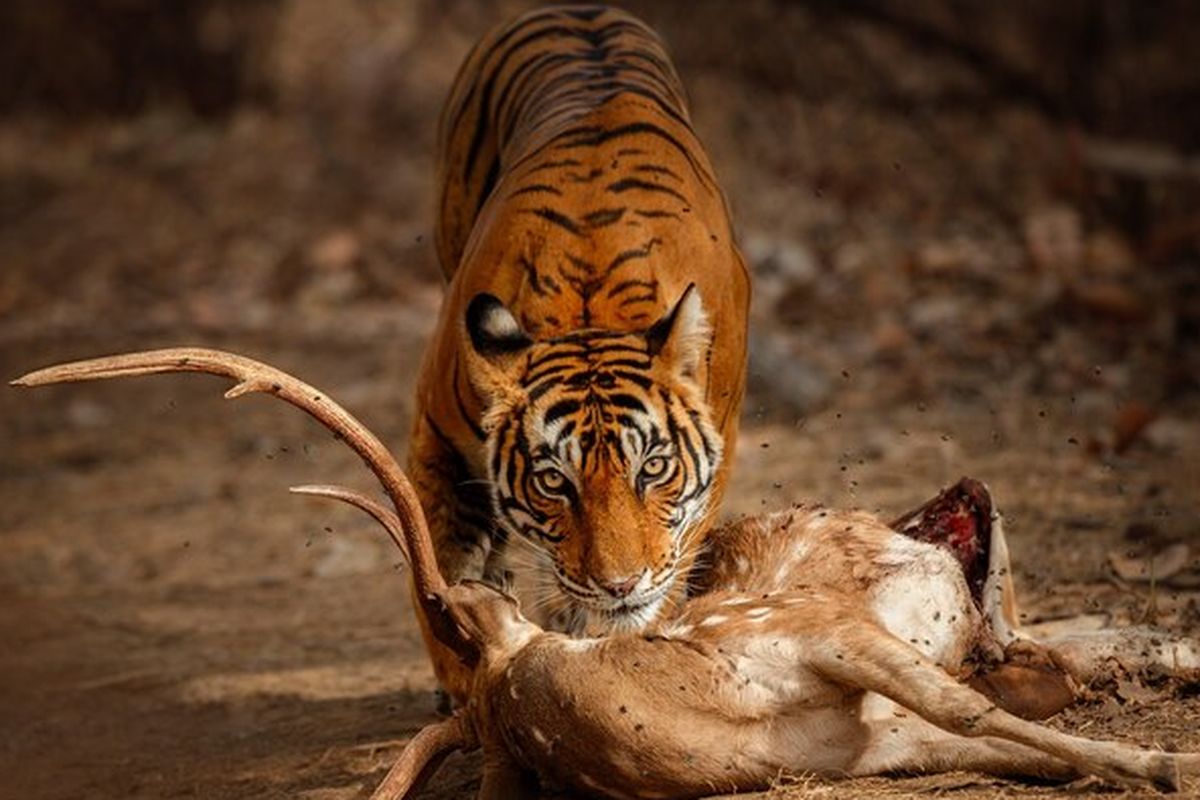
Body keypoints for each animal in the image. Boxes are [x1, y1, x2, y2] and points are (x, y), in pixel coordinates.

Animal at [412, 3, 748, 695]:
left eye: (654, 468)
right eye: (552, 481)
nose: (619, 586)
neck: (591, 308)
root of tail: (577, 9)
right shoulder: (437, 428)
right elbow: (440, 555)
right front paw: (467, 660)